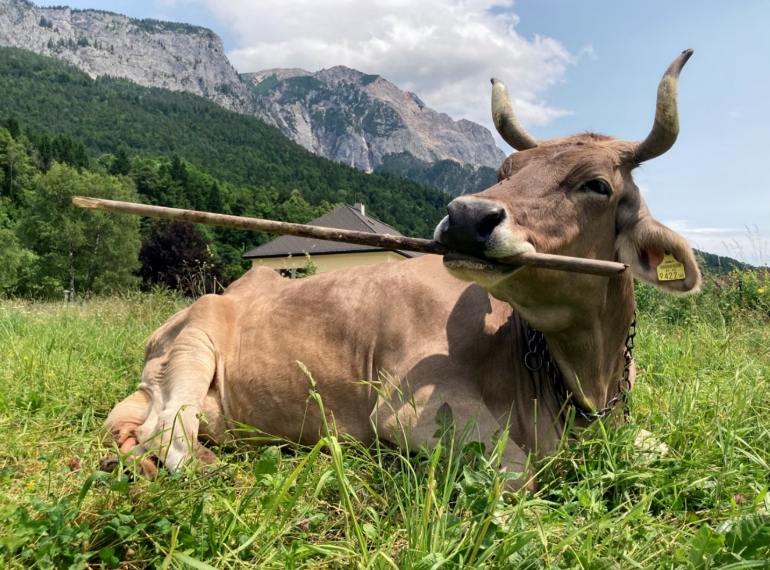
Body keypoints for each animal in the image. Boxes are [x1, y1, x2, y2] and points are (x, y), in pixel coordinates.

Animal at [102, 50, 700, 490]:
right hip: (195, 342)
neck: (583, 381)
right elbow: (518, 474)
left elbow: (666, 446)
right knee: (169, 435)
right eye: (505, 171)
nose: (466, 216)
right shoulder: (411, 409)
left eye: (596, 185)